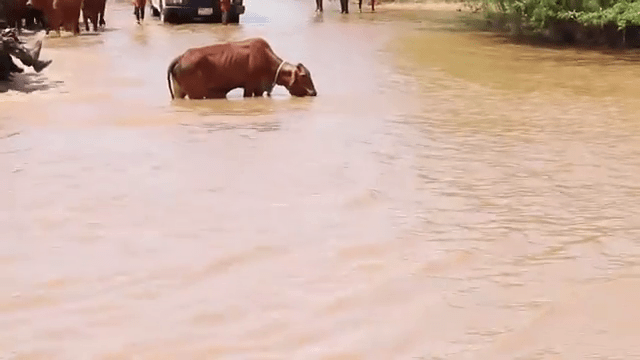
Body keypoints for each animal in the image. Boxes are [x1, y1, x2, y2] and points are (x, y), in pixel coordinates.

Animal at [165, 37, 316, 100]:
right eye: (303, 75)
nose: (313, 92)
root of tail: (182, 56)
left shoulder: (259, 89)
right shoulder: (249, 86)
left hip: (179, 92)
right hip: (195, 94)